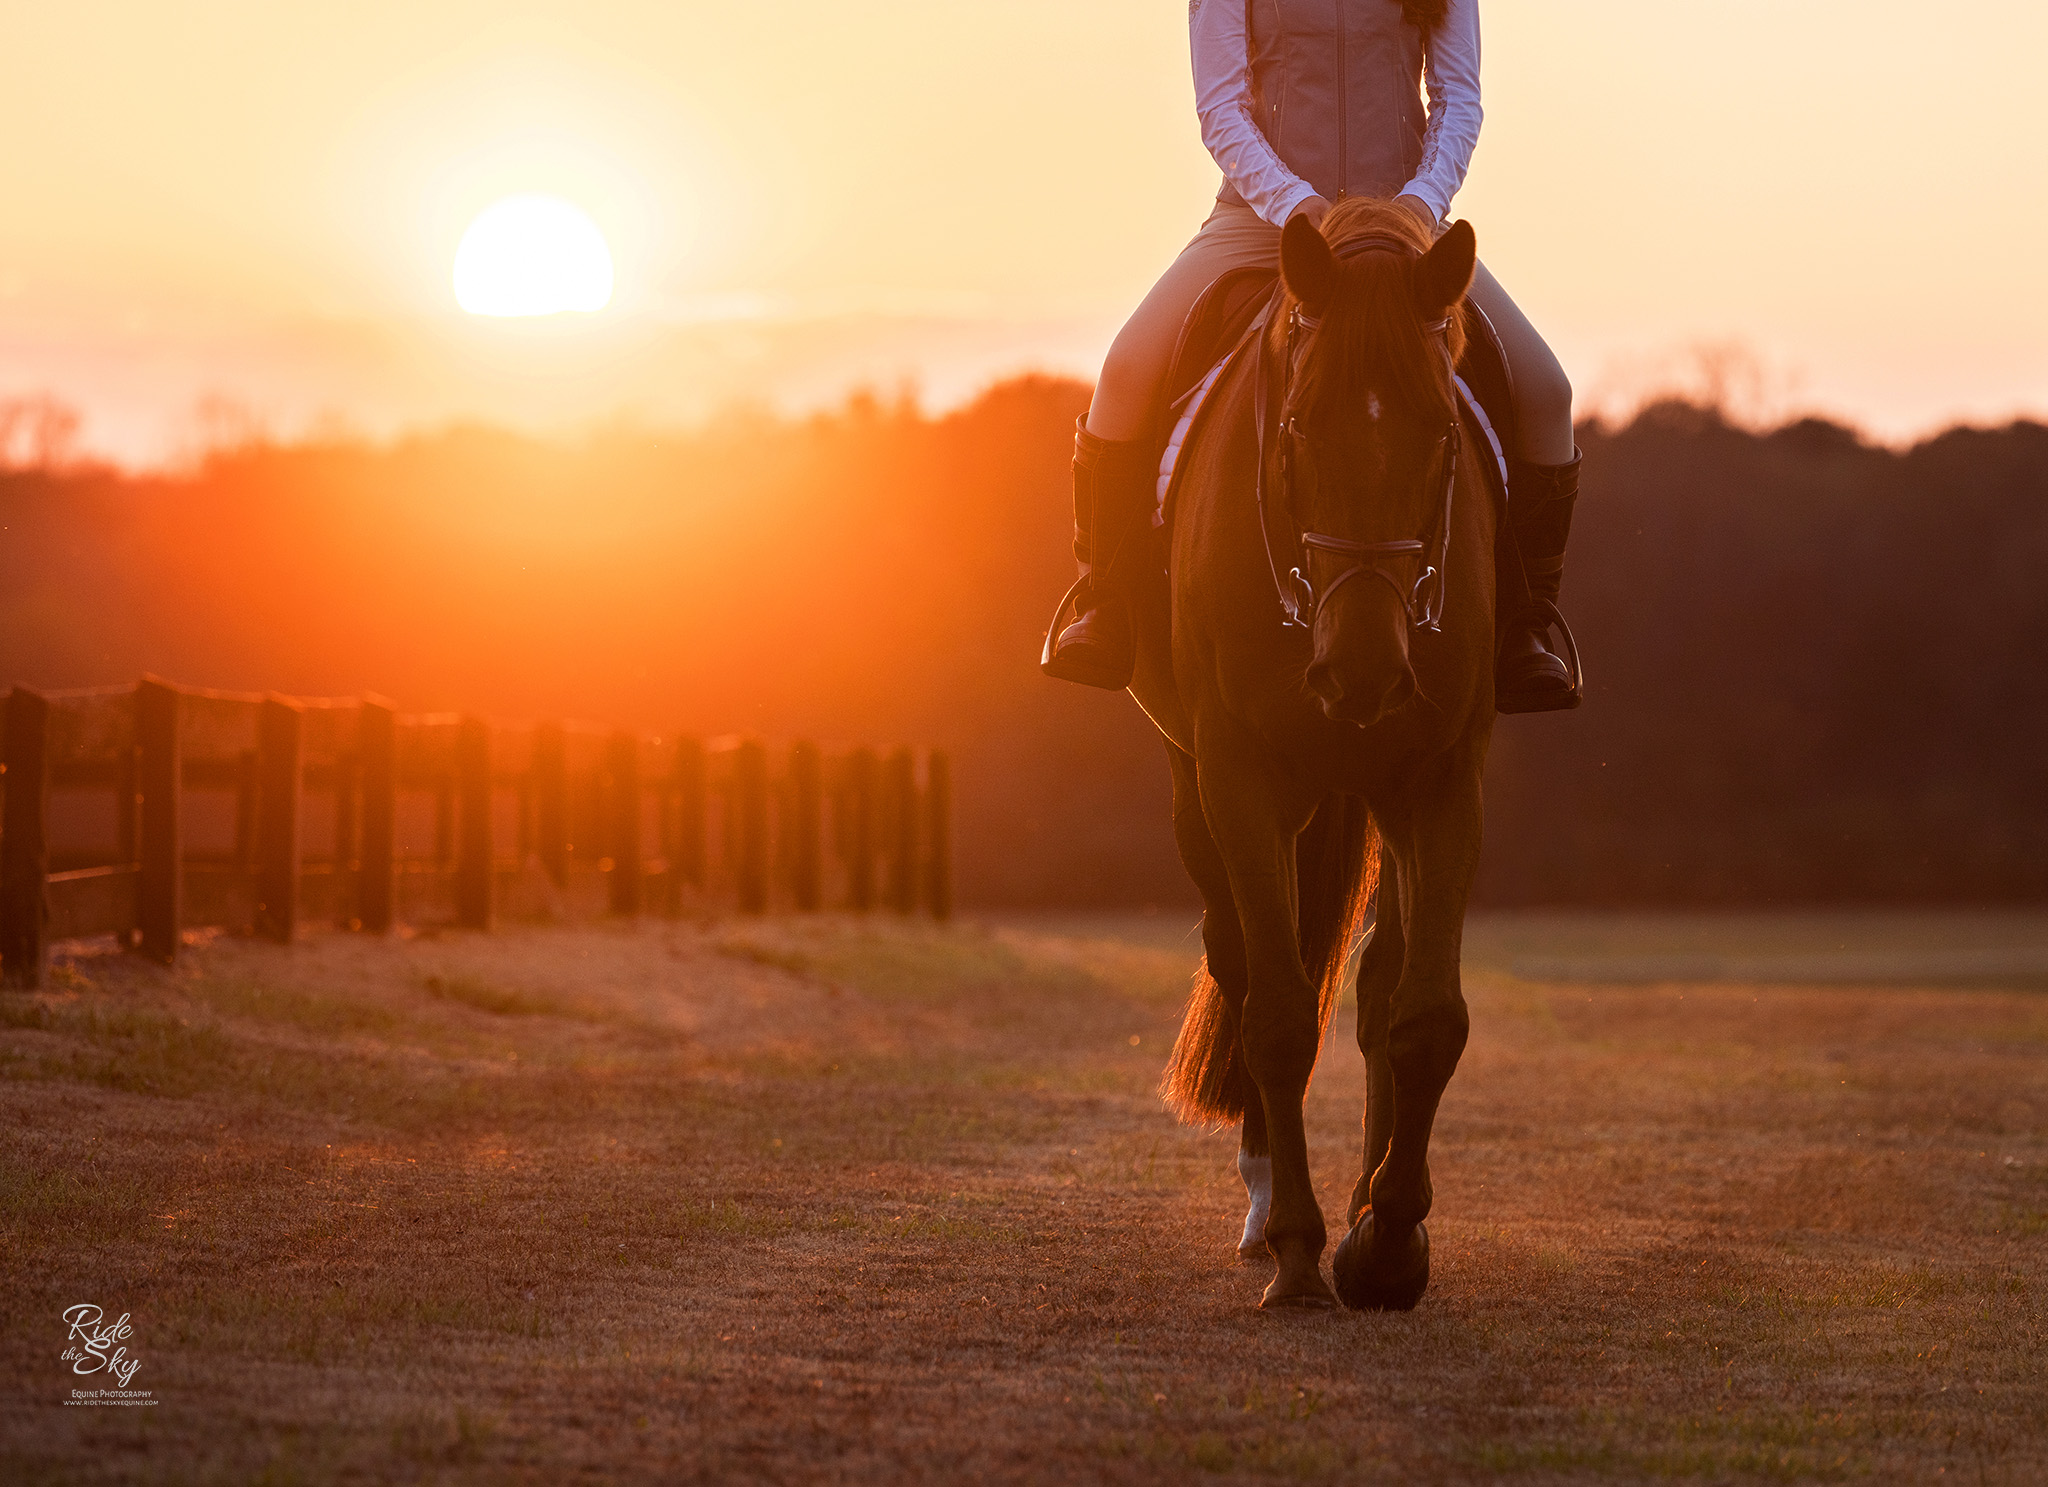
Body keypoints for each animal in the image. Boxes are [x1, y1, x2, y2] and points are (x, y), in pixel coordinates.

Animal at [1130, 197, 1499, 1319]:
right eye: (1296, 428)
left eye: (1440, 433)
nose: (1364, 671)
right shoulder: (1240, 779)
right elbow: (1281, 1015)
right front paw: (1299, 1247)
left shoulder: (1439, 778)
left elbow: (1423, 1017)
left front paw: (1387, 1242)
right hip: (1198, 795)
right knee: (1245, 962)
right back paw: (1264, 1209)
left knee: (1374, 987)